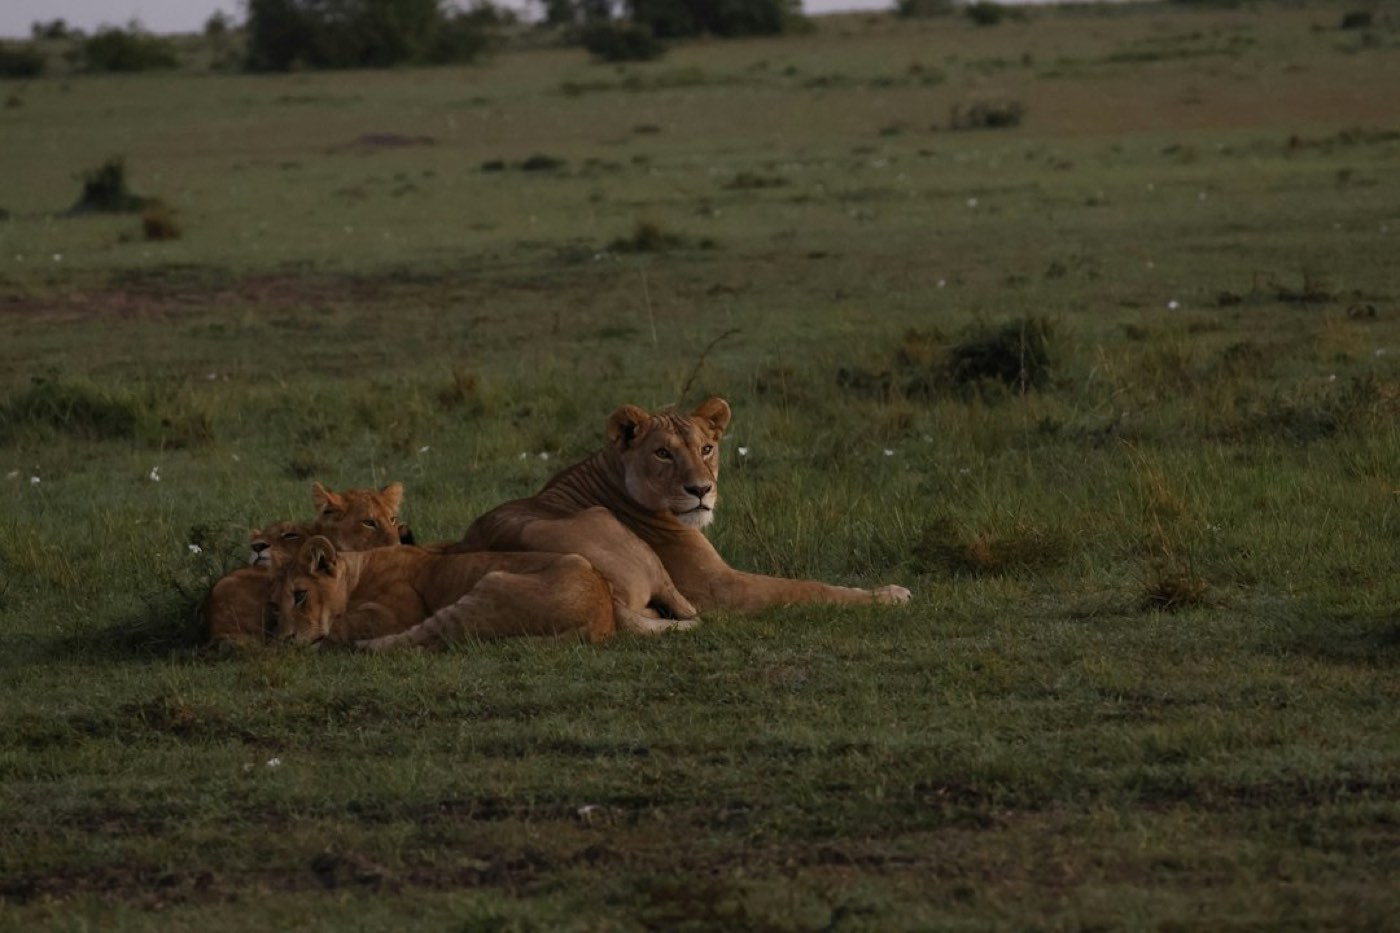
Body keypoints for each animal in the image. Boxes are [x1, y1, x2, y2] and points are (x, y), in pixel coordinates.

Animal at [269, 536, 629, 649]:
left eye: (300, 595)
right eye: (276, 604)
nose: (284, 638)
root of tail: (602, 620)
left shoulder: (397, 613)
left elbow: (344, 624)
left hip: (488, 587)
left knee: (427, 637)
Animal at [451, 397, 911, 613]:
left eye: (706, 448)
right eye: (662, 454)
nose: (701, 490)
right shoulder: (719, 587)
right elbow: (803, 587)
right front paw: (889, 593)